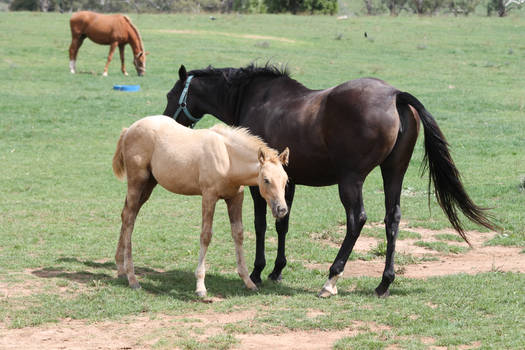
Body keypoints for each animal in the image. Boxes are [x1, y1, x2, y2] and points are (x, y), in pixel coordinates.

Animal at [112, 115, 288, 296]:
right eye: (266, 180)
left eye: (286, 180)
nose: (282, 209)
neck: (228, 158)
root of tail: (129, 129)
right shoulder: (209, 196)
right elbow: (206, 235)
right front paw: (200, 287)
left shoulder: (235, 198)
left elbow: (238, 234)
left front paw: (248, 281)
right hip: (137, 181)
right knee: (129, 219)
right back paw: (132, 279)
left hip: (148, 185)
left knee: (126, 215)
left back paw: (120, 268)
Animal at [162, 63, 498, 298]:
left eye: (170, 94)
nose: (167, 120)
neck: (253, 98)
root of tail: (395, 96)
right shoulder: (287, 182)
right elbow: (283, 224)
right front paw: (277, 270)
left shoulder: (262, 186)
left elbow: (261, 224)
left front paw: (257, 272)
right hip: (393, 173)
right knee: (392, 219)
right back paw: (383, 283)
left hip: (351, 180)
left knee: (356, 220)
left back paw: (331, 279)